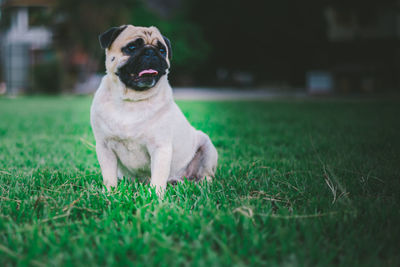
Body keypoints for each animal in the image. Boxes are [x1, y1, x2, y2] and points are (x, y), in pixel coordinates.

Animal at [90, 25, 217, 197]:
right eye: (132, 47)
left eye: (162, 50)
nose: (151, 52)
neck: (132, 100)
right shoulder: (104, 147)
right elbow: (109, 176)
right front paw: (109, 193)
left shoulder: (160, 148)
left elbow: (158, 176)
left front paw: (155, 196)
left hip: (206, 146)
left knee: (206, 176)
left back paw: (201, 186)